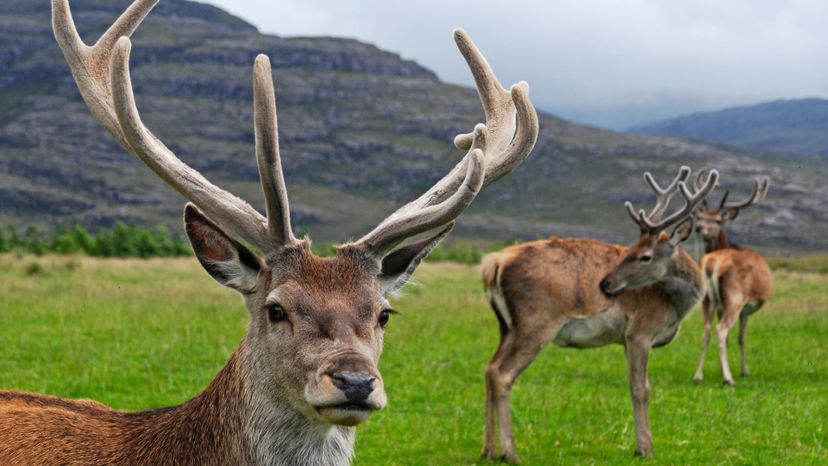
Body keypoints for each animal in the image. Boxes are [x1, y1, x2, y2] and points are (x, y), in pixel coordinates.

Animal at [479, 166, 719, 462]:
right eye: (630, 250)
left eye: (644, 255)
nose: (605, 284)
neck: (674, 306)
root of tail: (493, 264)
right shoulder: (640, 331)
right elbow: (640, 389)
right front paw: (644, 448)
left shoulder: (627, 339)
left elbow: (642, 385)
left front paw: (643, 444)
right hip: (536, 322)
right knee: (502, 374)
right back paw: (510, 452)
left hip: (506, 325)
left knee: (489, 368)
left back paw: (488, 450)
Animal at [691, 172, 772, 386]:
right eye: (701, 217)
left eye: (718, 220)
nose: (699, 227)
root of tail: (712, 263)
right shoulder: (746, 308)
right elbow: (741, 337)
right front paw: (744, 371)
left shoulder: (721, 306)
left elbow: (731, 339)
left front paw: (722, 369)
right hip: (735, 296)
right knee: (721, 330)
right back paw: (729, 379)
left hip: (707, 299)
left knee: (706, 331)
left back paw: (698, 375)